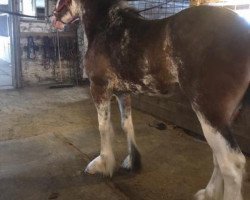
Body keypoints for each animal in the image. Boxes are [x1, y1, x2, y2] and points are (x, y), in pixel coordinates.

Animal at [51, 0, 250, 199]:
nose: (54, 17)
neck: (107, 26)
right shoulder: (123, 93)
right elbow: (126, 125)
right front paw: (132, 162)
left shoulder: (99, 88)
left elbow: (104, 128)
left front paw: (102, 164)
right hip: (224, 118)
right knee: (218, 157)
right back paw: (207, 194)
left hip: (209, 114)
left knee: (232, 164)